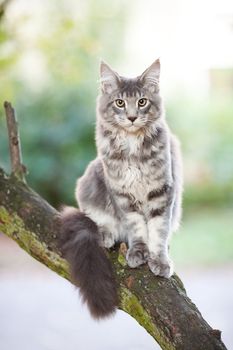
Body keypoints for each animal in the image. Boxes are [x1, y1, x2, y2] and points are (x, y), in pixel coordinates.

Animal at [59, 58, 183, 320]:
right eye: (120, 103)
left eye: (142, 102)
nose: (133, 117)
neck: (133, 145)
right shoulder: (122, 193)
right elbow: (136, 227)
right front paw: (138, 251)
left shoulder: (162, 191)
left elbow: (158, 230)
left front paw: (160, 260)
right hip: (91, 179)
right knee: (97, 217)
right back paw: (106, 234)